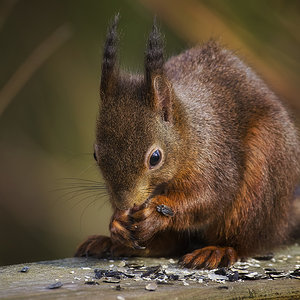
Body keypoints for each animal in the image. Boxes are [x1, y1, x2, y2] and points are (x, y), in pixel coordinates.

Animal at [75, 15, 300, 270]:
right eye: (96, 155)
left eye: (155, 158)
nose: (126, 204)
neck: (188, 133)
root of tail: (282, 220)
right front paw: (117, 223)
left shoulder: (214, 155)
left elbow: (208, 197)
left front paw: (156, 213)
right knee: (169, 245)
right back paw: (111, 243)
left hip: (260, 182)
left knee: (242, 240)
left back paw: (217, 250)